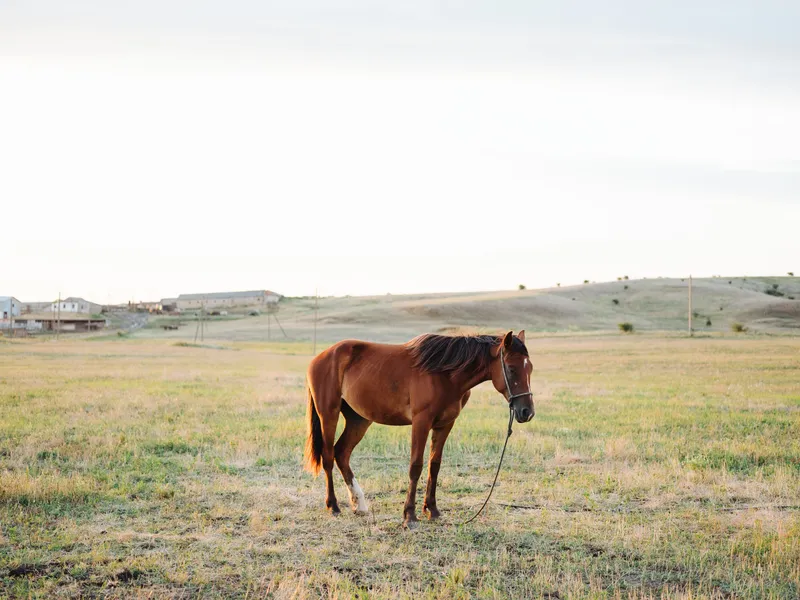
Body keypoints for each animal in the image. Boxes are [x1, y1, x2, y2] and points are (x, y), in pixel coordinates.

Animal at [303, 330, 534, 528]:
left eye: (530, 368)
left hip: (358, 419)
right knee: (328, 456)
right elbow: (416, 466)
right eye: (511, 368)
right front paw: (410, 515)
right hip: (329, 415)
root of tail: (320, 357)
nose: (527, 412)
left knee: (342, 453)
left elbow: (434, 465)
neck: (444, 374)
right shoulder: (421, 422)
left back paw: (358, 504)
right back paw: (333, 506)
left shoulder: (444, 425)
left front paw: (432, 510)